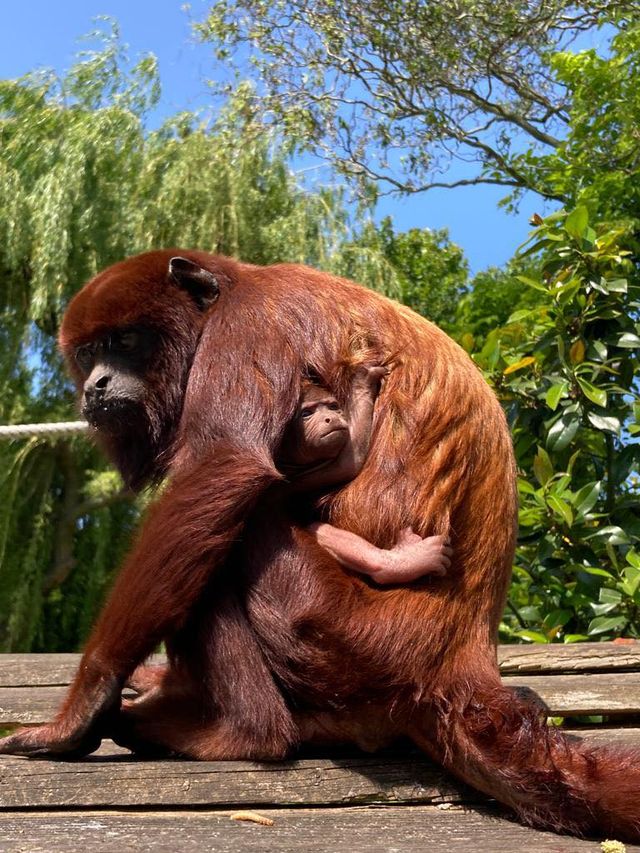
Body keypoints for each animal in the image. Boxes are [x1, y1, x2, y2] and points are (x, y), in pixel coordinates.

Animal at [278, 362, 450, 584]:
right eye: (307, 413)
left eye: (332, 407)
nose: (329, 418)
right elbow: (349, 462)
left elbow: (347, 461)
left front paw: (362, 384)